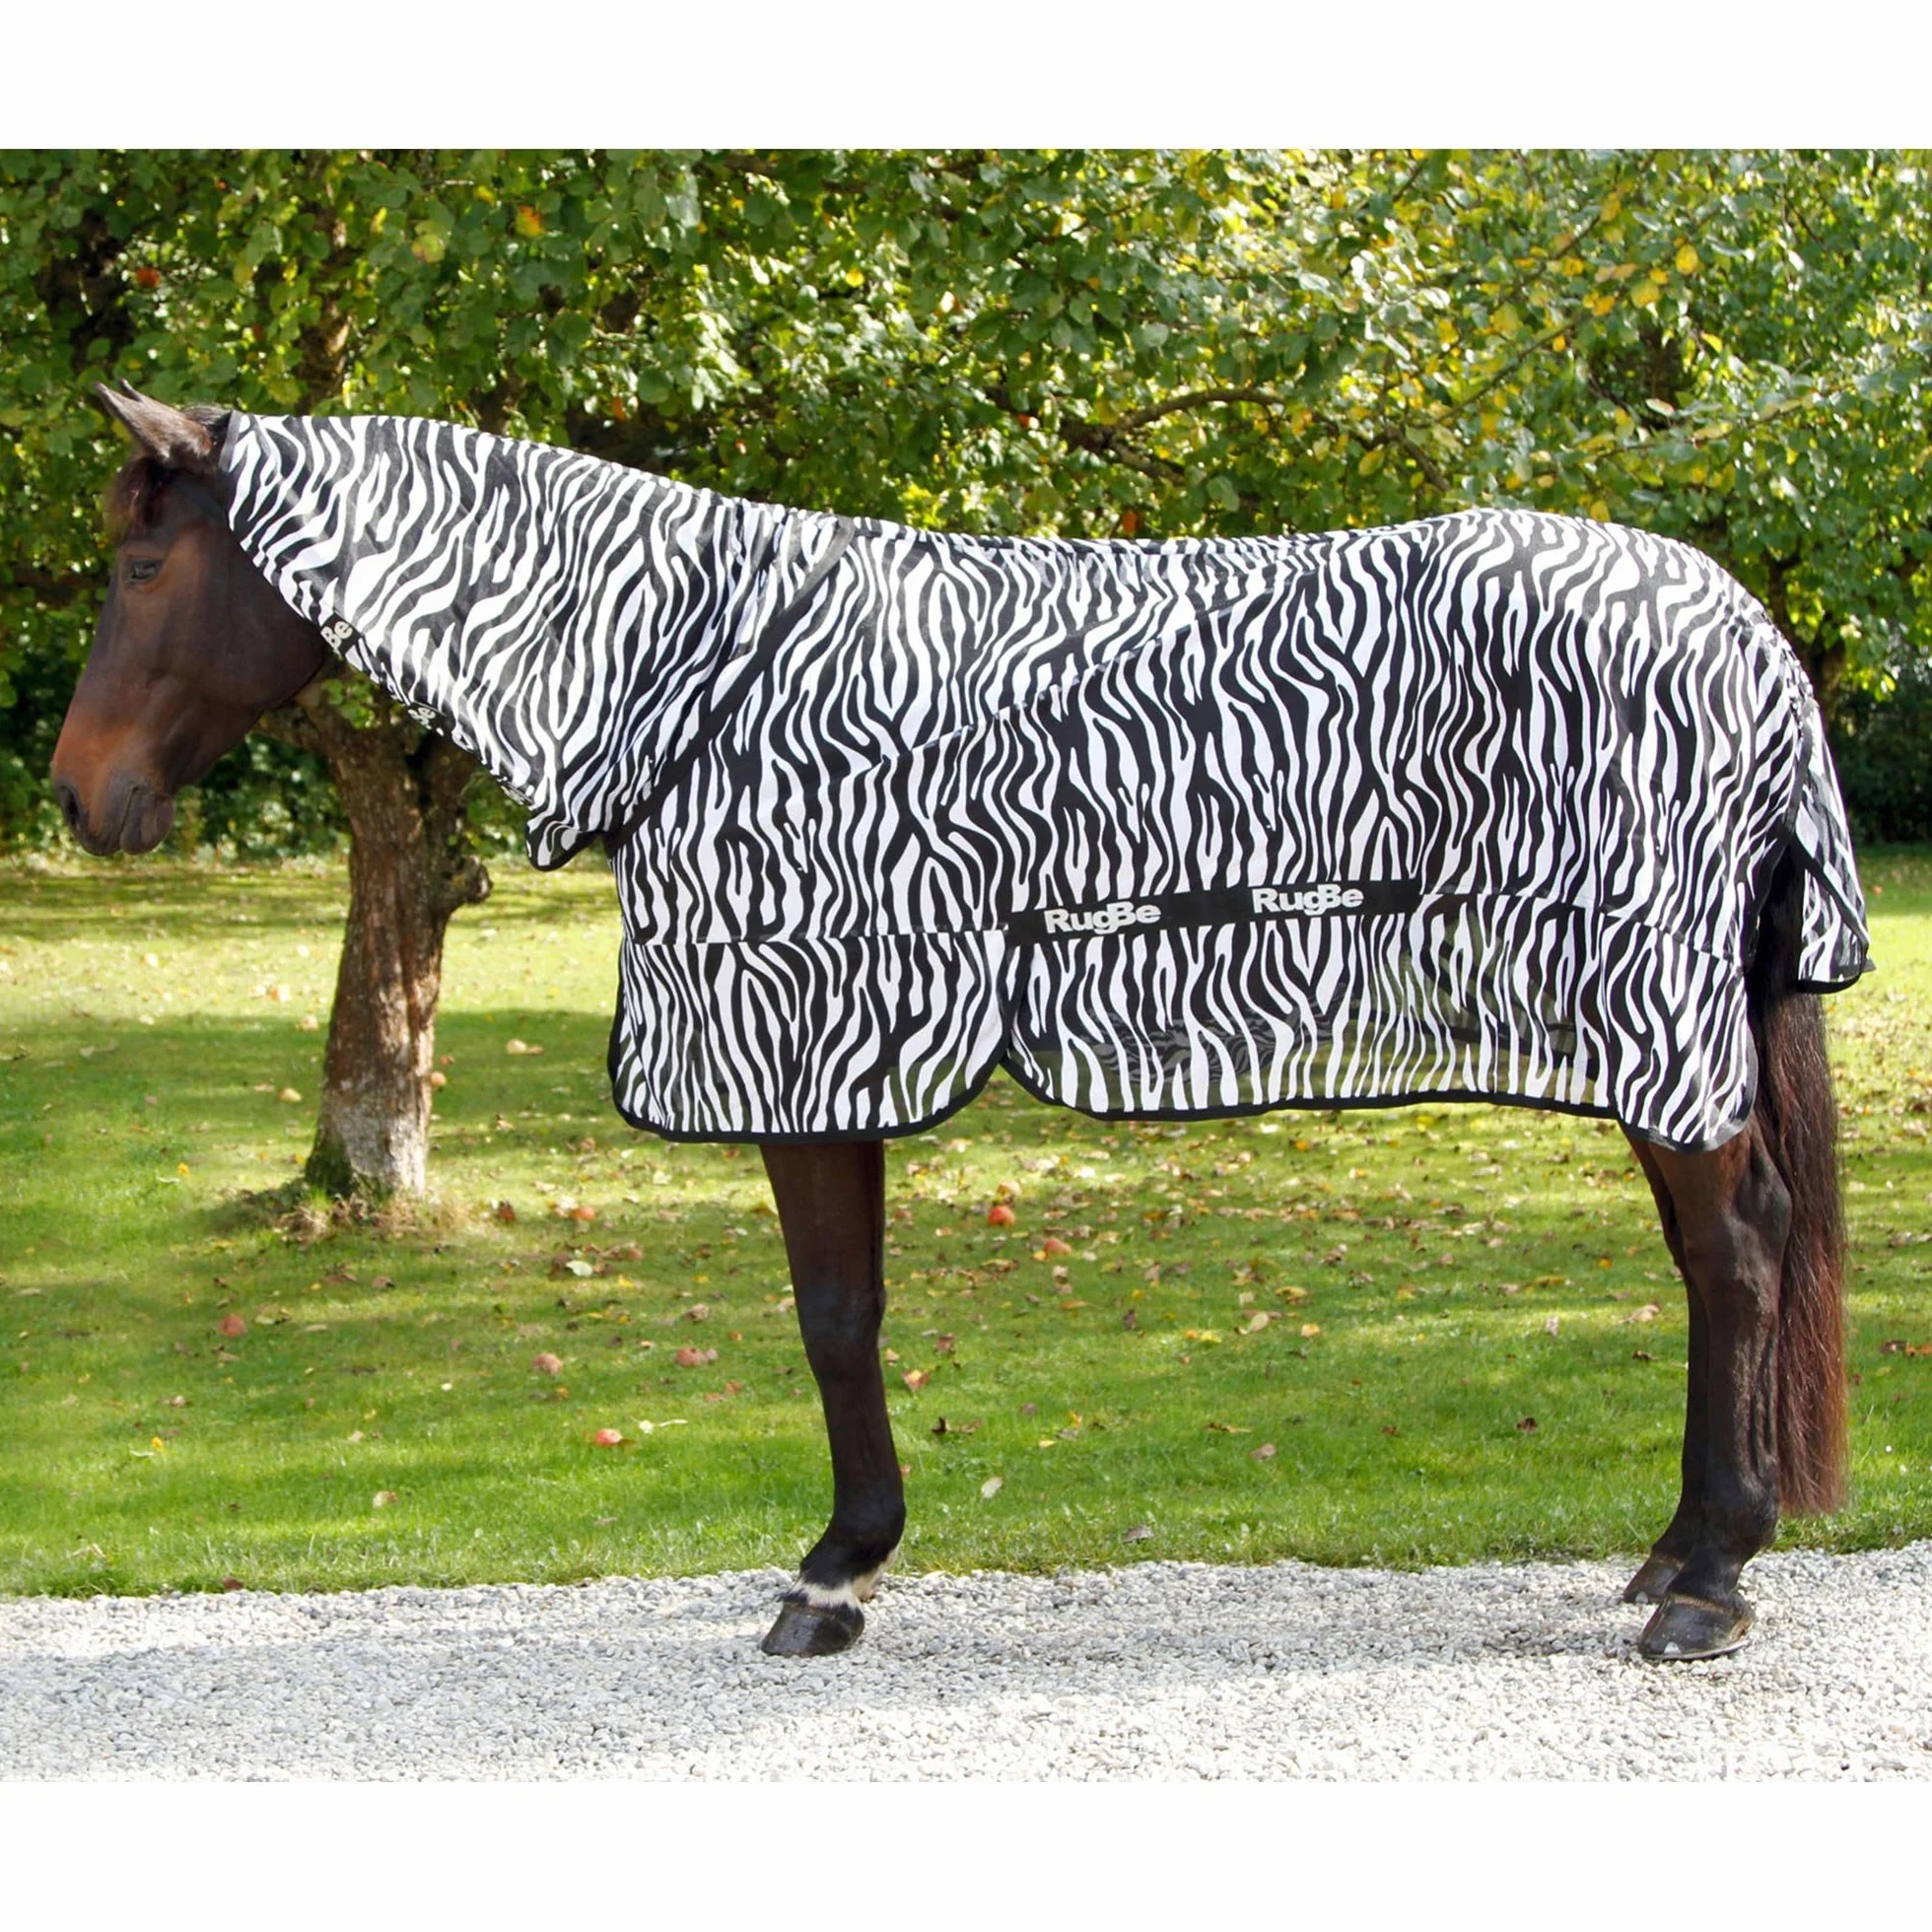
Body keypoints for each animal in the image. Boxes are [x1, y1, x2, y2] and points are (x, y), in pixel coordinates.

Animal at [52, 384, 1864, 1662]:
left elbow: (834, 1316)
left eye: (144, 566)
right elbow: (847, 1314)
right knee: (1723, 1258)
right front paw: (849, 1560)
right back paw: (1675, 1551)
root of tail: (1745, 631)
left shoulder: (808, 1046)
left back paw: (1709, 1584)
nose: (78, 798)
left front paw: (833, 1576)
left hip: (1655, 1035)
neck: (690, 672)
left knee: (1738, 1258)